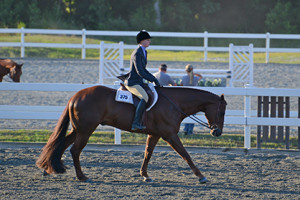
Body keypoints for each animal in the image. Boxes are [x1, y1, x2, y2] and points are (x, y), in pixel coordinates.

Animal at [36, 85, 226, 184]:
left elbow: (147, 154)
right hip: (85, 130)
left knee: (61, 144)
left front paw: (145, 175)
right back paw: (82, 176)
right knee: (75, 150)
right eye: (222, 111)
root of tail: (75, 96)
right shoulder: (170, 134)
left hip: (78, 130)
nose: (217, 132)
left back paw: (49, 168)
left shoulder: (155, 134)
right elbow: (185, 154)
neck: (173, 103)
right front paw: (201, 176)